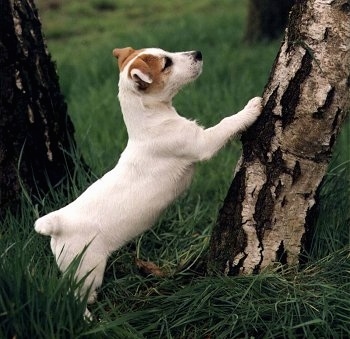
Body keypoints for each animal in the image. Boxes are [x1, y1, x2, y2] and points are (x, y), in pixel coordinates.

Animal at [34, 47, 262, 314]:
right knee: (75, 298)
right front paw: (252, 108)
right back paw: (88, 317)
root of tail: (56, 225)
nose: (198, 53)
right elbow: (227, 123)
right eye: (166, 63)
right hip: (86, 271)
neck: (148, 119)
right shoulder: (201, 143)